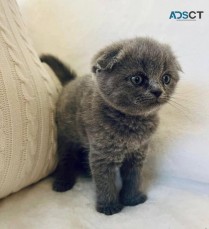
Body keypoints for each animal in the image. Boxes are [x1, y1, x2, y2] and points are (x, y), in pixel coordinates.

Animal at [40, 37, 181, 215]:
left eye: (166, 78)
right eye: (137, 79)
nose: (157, 91)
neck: (132, 121)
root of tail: (71, 82)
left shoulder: (137, 153)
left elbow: (133, 177)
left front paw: (132, 199)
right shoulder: (103, 154)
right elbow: (105, 181)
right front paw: (109, 206)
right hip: (67, 135)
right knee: (66, 157)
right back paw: (63, 181)